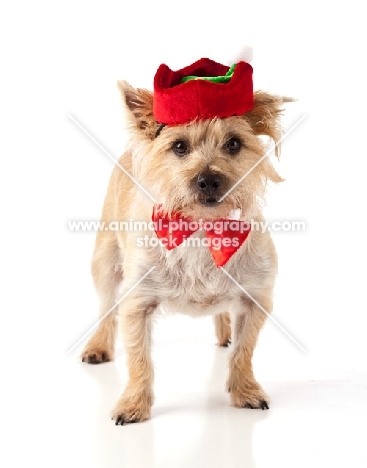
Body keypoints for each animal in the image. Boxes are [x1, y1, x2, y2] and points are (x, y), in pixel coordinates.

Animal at [81, 57, 294, 424]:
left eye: (234, 143)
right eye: (179, 146)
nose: (208, 180)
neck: (201, 231)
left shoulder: (256, 298)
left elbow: (244, 351)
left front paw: (245, 391)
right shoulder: (137, 303)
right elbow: (138, 359)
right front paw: (133, 404)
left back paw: (224, 332)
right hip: (105, 261)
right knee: (106, 308)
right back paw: (98, 346)